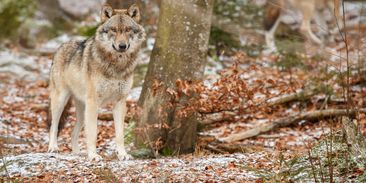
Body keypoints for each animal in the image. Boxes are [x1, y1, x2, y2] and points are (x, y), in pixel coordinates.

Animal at [47, 3, 146, 160]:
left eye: (127, 30)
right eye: (113, 30)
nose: (122, 46)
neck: (117, 66)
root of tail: (61, 46)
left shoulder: (120, 102)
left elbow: (120, 135)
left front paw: (123, 155)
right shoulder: (94, 102)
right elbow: (93, 133)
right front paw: (93, 156)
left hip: (82, 111)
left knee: (73, 132)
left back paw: (77, 153)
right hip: (61, 101)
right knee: (54, 126)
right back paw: (53, 148)